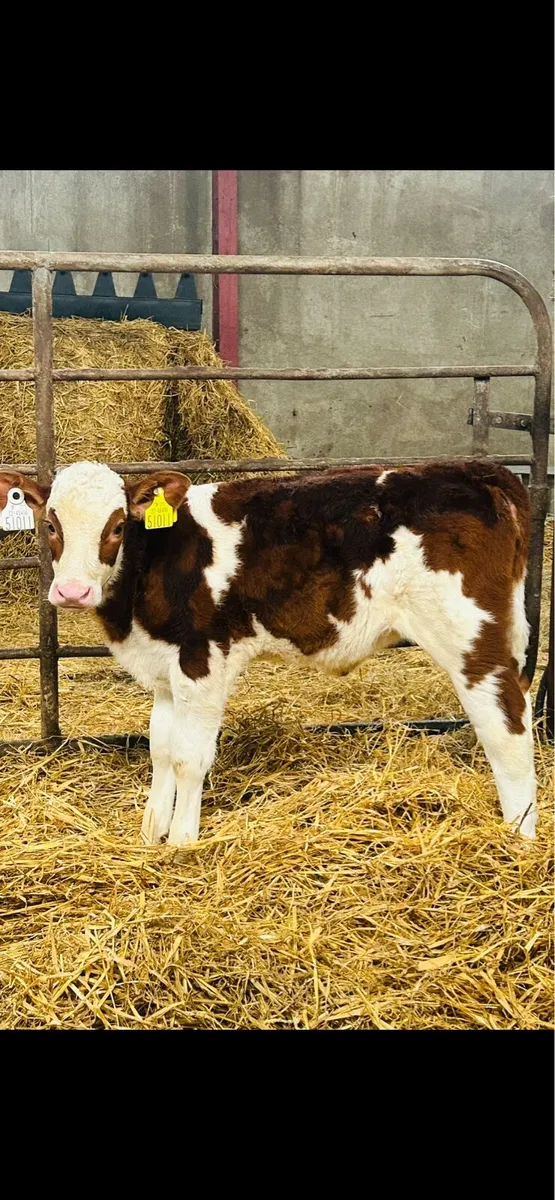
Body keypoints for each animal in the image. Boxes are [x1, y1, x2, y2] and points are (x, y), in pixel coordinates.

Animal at [0, 458, 538, 845]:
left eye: (116, 527)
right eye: (51, 526)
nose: (71, 592)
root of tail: (476, 471)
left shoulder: (204, 659)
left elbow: (190, 757)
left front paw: (182, 842)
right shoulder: (166, 669)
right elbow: (161, 750)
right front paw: (152, 836)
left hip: (470, 638)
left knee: (506, 731)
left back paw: (518, 843)